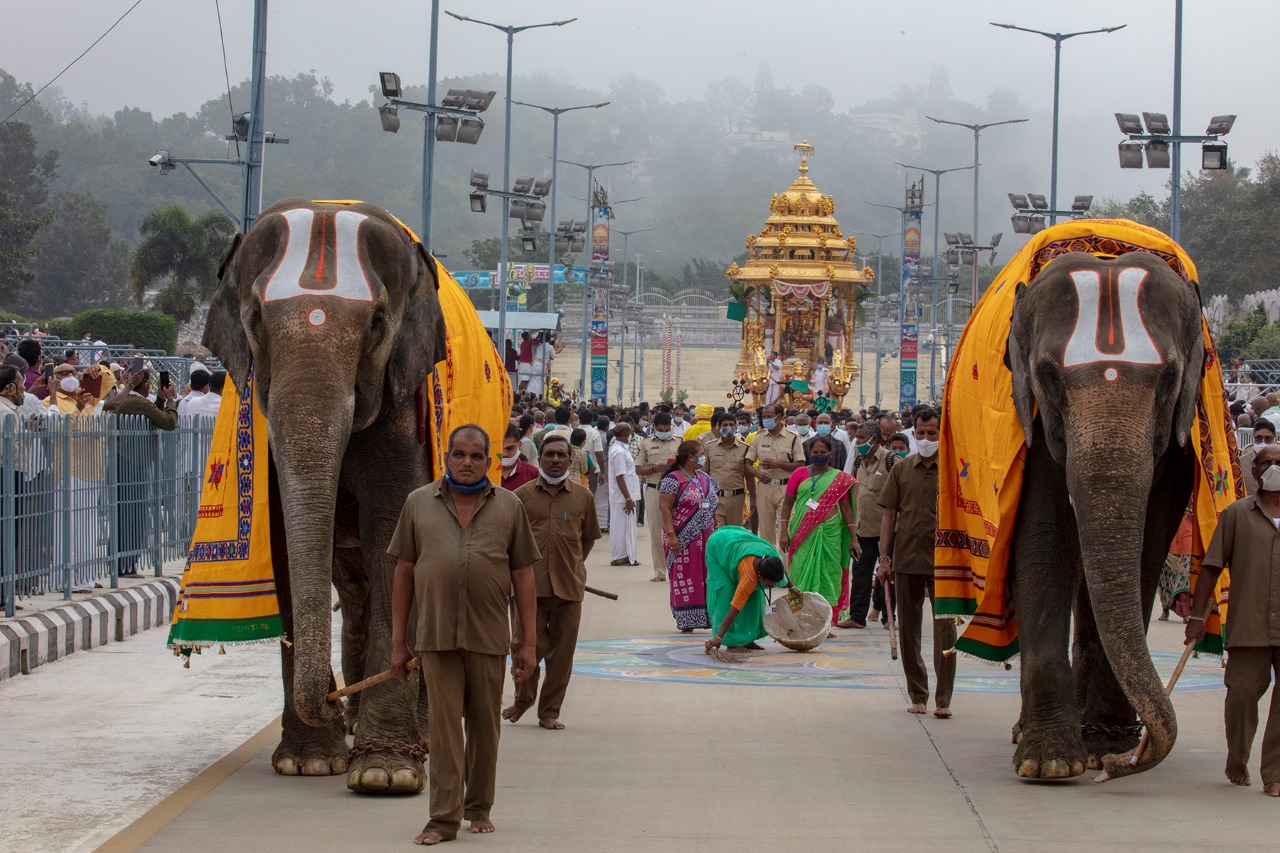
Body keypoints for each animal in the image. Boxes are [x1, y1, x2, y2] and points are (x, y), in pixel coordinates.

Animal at [204, 197, 450, 788]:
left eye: (378, 323)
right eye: (253, 318)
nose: (331, 701)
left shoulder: (403, 408)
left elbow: (392, 535)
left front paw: (386, 773)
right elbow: (282, 546)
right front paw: (309, 762)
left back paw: (419, 735)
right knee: (354, 590)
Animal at [1003, 251, 1203, 778]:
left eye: (1169, 378)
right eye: (1049, 376)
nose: (1121, 764)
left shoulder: (1177, 444)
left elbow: (1147, 549)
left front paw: (1102, 746)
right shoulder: (1033, 422)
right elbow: (1044, 537)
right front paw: (1050, 764)